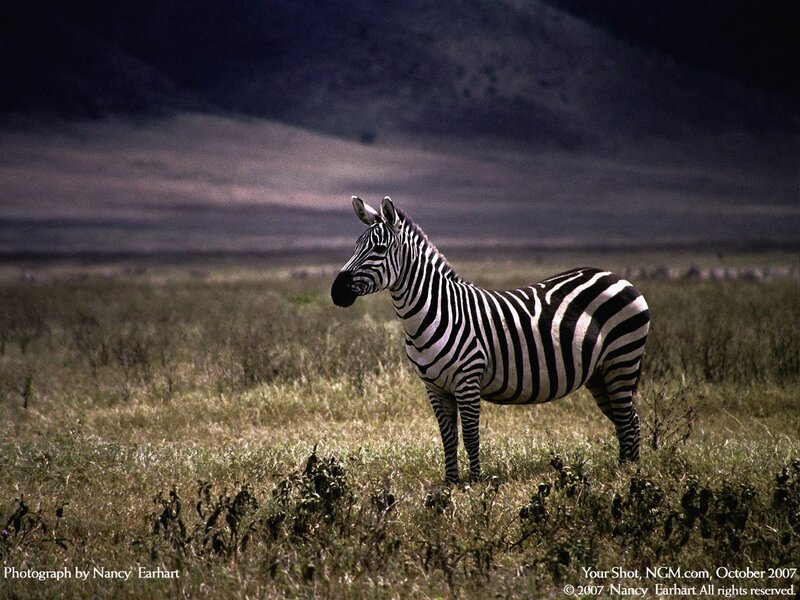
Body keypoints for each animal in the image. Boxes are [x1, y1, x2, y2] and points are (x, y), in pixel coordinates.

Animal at [331, 196, 650, 484]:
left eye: (380, 248)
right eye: (355, 246)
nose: (336, 291)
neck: (435, 311)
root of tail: (615, 276)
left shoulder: (467, 379)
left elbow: (471, 436)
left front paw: (475, 485)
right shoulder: (434, 387)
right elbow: (448, 437)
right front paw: (450, 484)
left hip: (622, 360)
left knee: (629, 421)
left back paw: (629, 478)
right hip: (599, 373)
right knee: (626, 421)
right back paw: (624, 471)